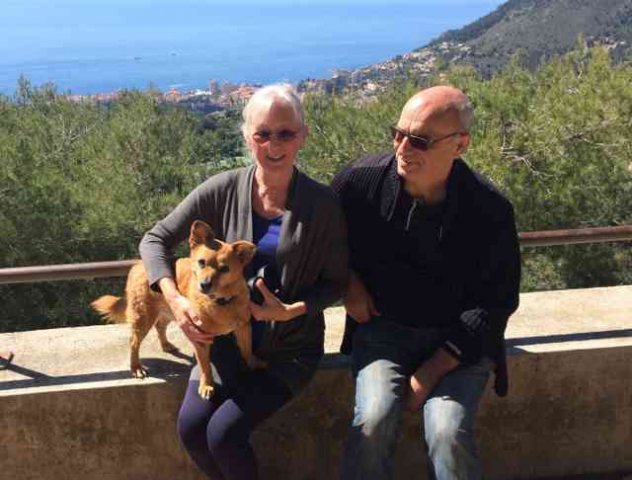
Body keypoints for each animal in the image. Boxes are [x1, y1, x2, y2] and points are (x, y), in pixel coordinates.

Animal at [89, 220, 256, 398]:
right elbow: (205, 366)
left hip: (169, 312)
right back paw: (136, 367)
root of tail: (138, 264)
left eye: (224, 269)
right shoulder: (200, 339)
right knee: (133, 342)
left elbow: (247, 349)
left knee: (159, 326)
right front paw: (207, 385)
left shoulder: (244, 328)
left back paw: (166, 345)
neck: (221, 301)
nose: (204, 284)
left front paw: (254, 363)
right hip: (143, 318)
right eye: (201, 262)